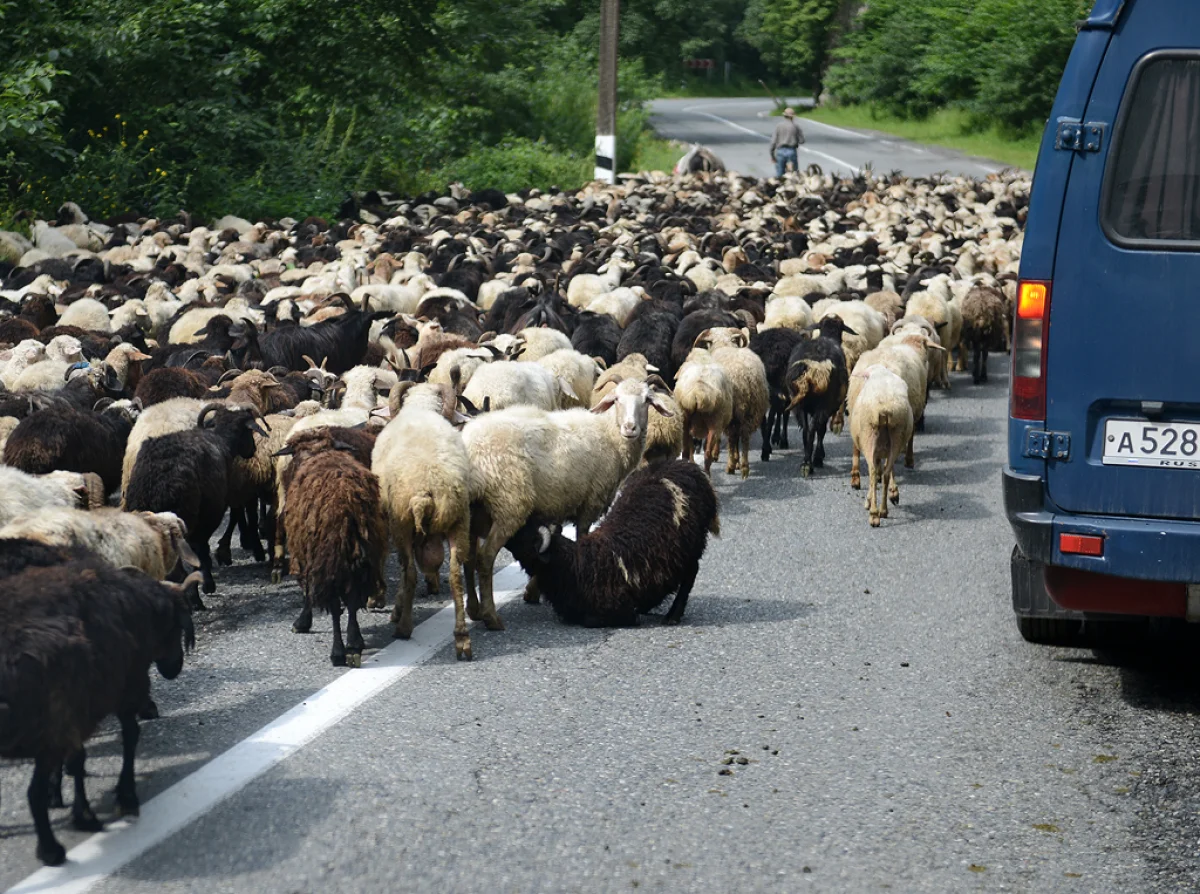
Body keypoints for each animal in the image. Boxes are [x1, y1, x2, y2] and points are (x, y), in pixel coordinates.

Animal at [0, 544, 194, 864]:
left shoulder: (79, 712)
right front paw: (123, 798)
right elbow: (128, 737)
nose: (174, 668)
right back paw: (51, 850)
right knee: (32, 793)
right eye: (177, 625)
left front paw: (72, 804)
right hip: (49, 728)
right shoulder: (128, 686)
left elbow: (77, 760)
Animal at [124, 400, 267, 595]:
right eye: (249, 431)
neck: (221, 440)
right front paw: (208, 582)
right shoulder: (212, 510)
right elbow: (202, 547)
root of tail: (157, 485)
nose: (253, 450)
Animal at [508, 460, 715, 628]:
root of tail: (687, 466)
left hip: (692, 546)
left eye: (524, 535)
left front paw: (636, 614)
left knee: (690, 575)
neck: (575, 567)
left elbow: (592, 620)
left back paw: (672, 615)